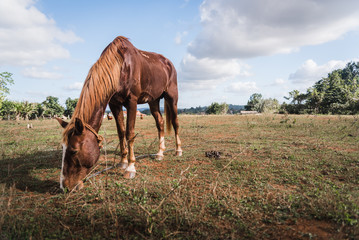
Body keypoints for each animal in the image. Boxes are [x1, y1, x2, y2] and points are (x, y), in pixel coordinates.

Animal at [56, 36, 183, 191]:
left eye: (74, 150)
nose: (64, 186)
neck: (121, 66)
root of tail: (168, 63)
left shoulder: (132, 102)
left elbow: (129, 133)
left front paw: (130, 168)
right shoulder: (114, 104)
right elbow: (121, 132)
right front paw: (122, 162)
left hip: (172, 97)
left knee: (175, 123)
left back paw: (178, 150)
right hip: (153, 101)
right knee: (160, 123)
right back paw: (160, 153)